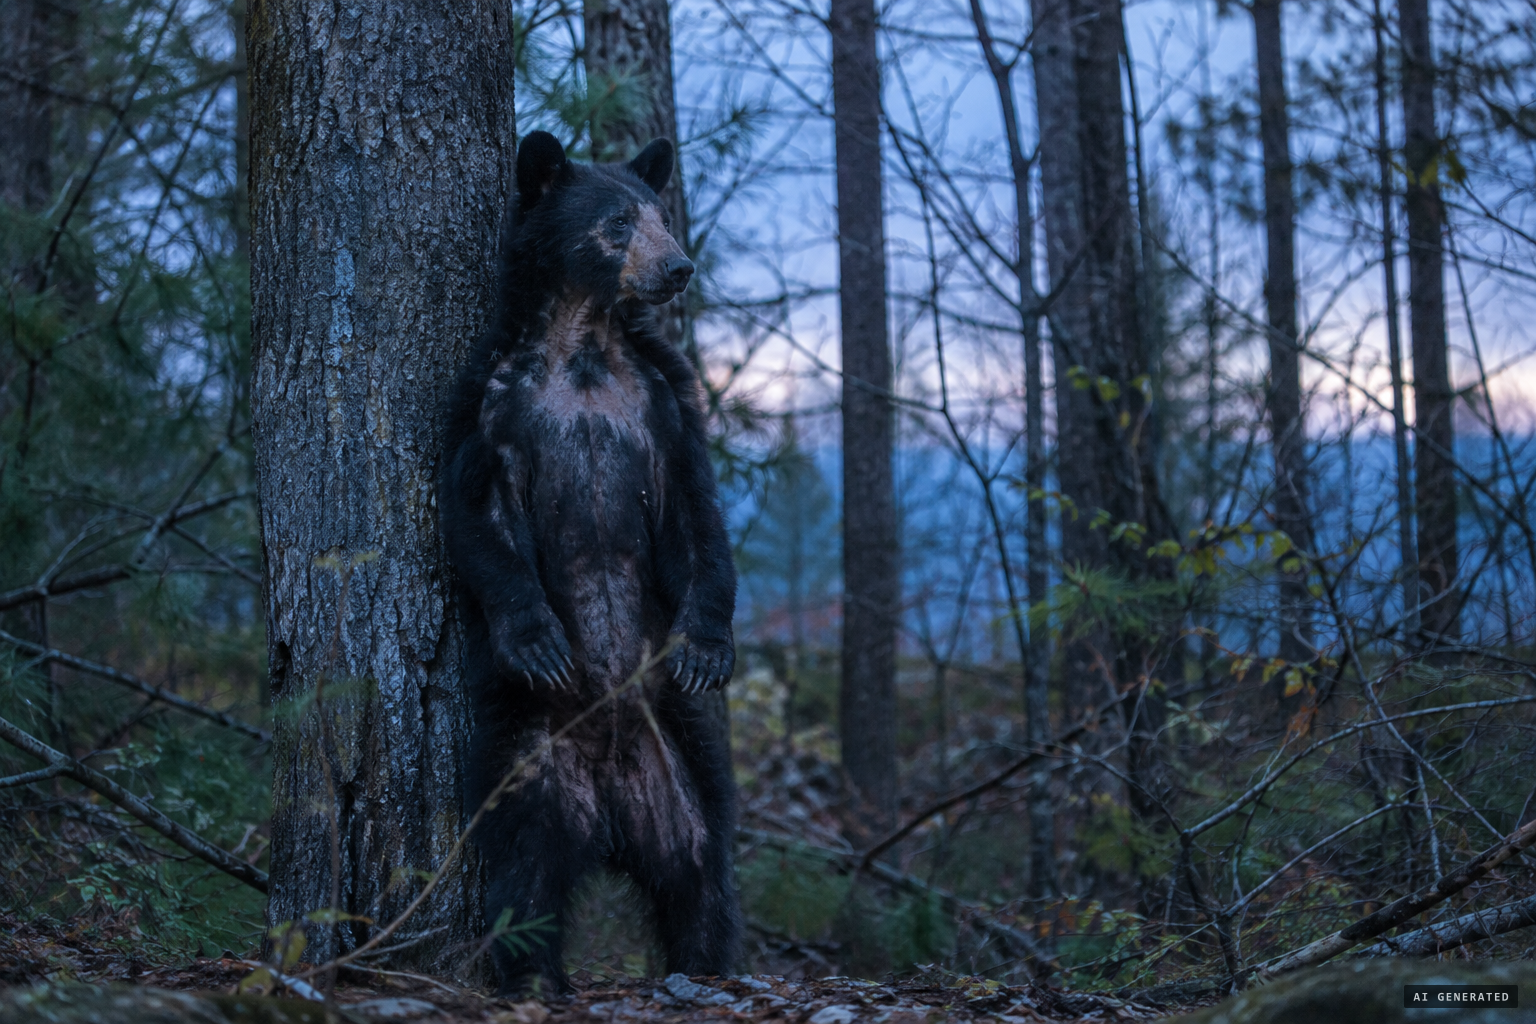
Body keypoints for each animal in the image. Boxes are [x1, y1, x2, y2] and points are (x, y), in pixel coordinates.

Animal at [438, 130, 741, 995]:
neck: (584, 343)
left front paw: (708, 647)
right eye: (616, 223)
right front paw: (537, 639)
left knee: (701, 861)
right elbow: (478, 518)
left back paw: (705, 963)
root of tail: (609, 812)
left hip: (678, 756)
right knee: (525, 869)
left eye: (659, 214)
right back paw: (530, 973)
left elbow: (697, 517)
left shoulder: (661, 403)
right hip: (530, 757)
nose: (678, 268)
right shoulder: (492, 403)